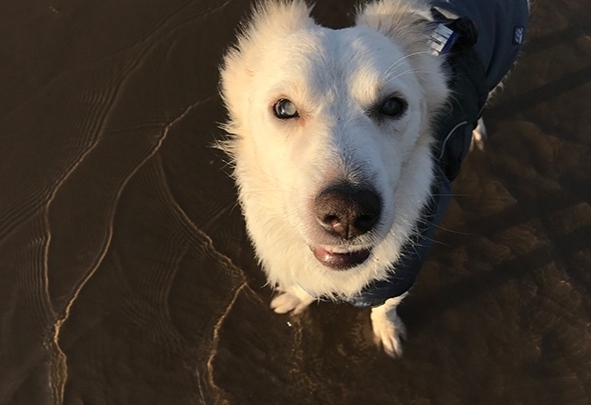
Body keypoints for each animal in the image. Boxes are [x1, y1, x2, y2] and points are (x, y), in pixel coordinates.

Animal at [218, 0, 528, 357]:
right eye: (284, 108)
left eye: (393, 105)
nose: (348, 214)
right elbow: (306, 281)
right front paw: (296, 298)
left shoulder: (402, 272)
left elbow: (386, 306)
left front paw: (388, 332)